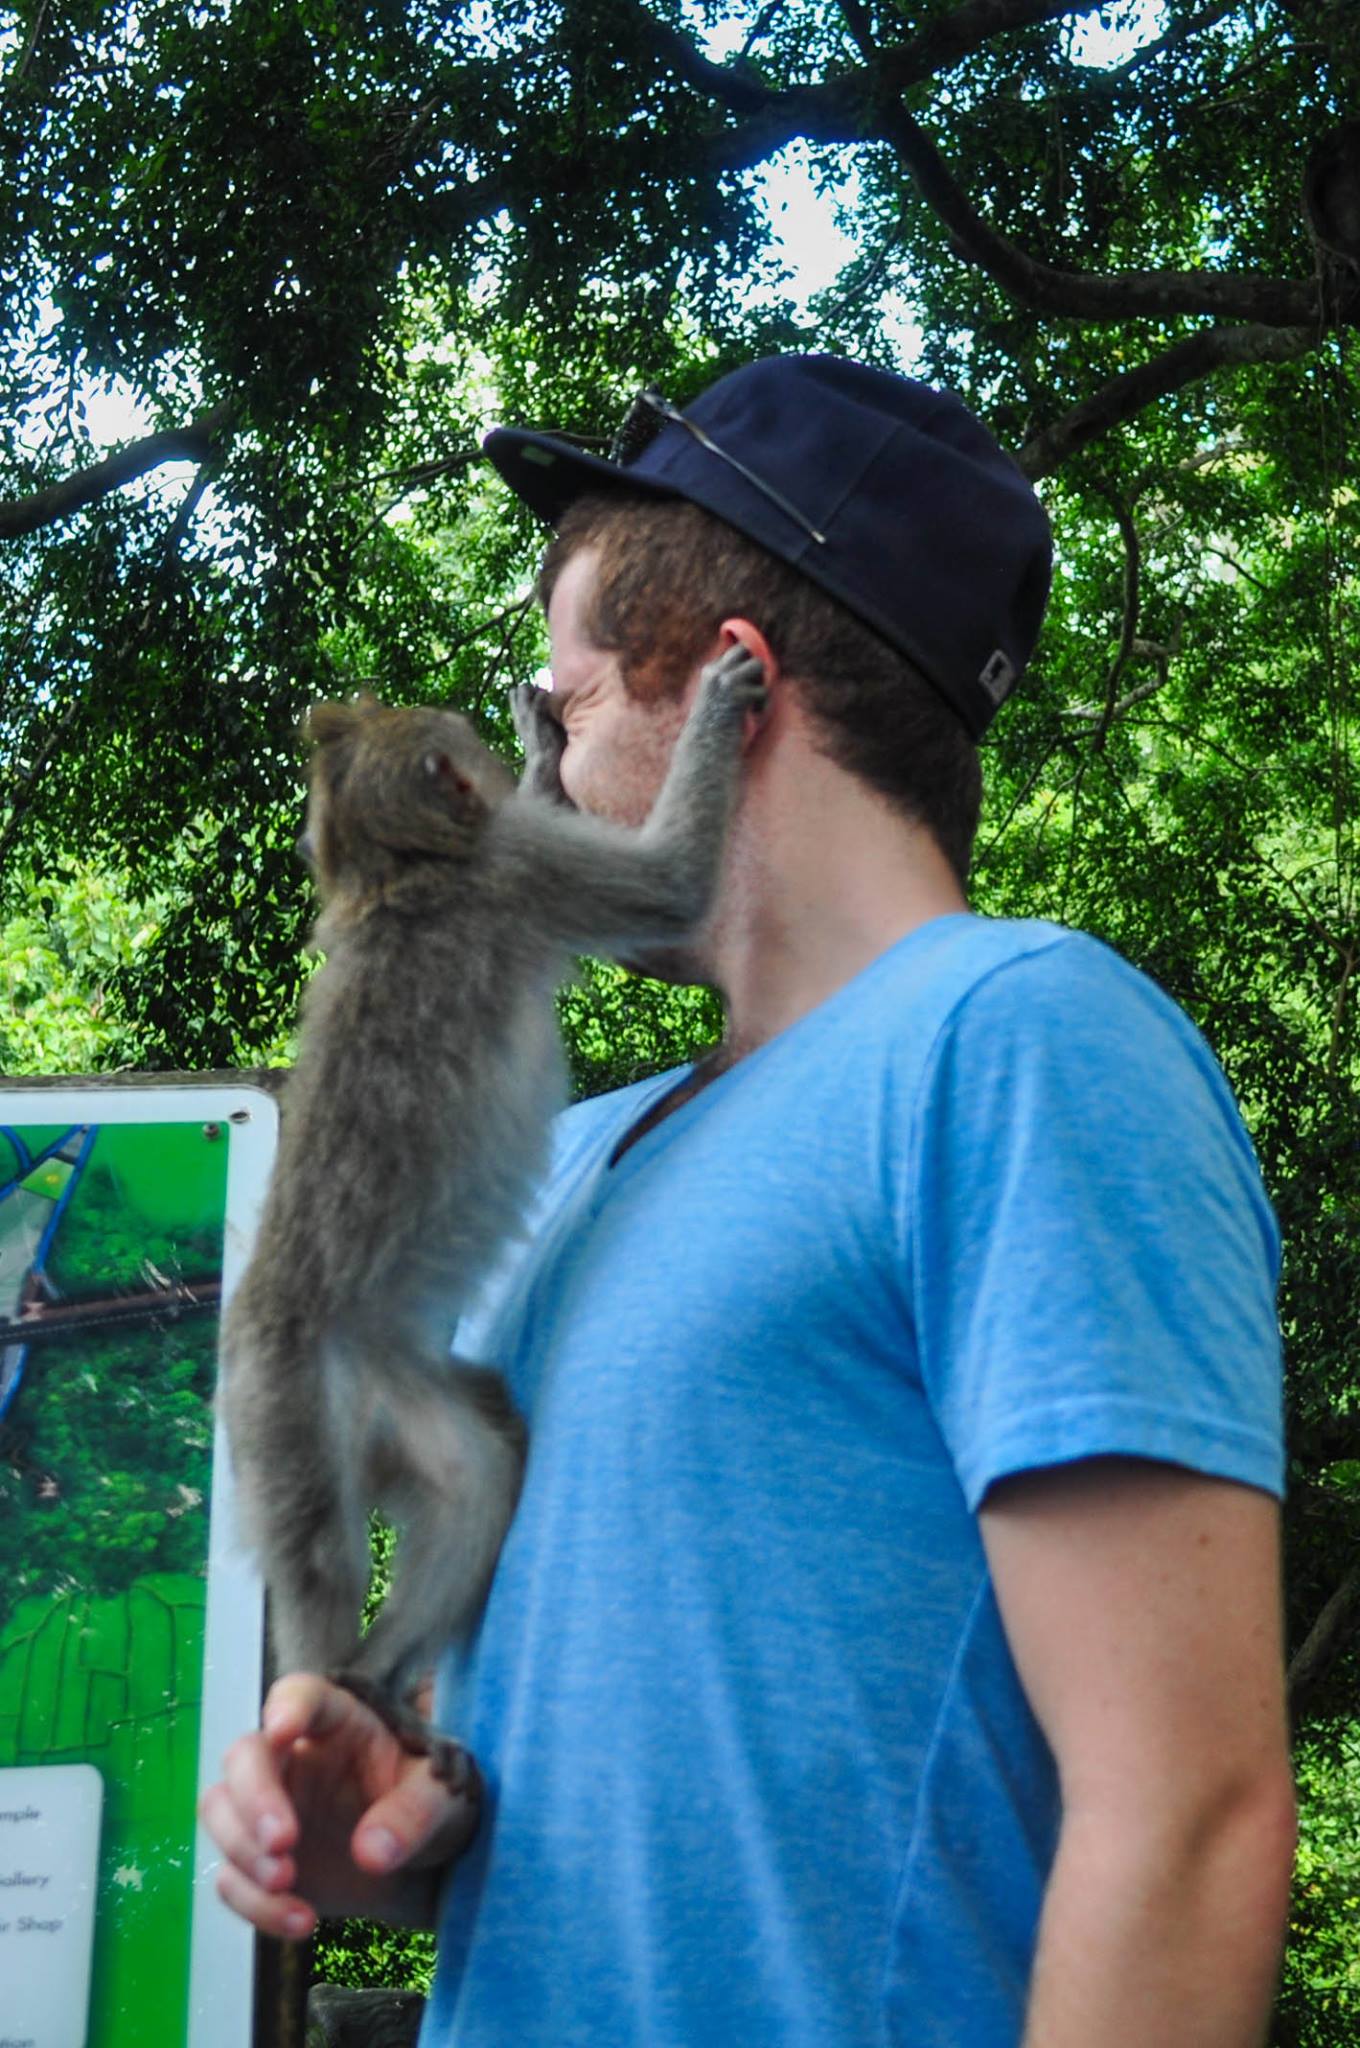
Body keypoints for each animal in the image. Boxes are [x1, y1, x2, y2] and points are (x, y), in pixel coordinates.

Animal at [215, 638, 766, 1777]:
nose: (483, 734)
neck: (398, 873)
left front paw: (544, 743)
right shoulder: (515, 870)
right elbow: (671, 884)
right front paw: (713, 703)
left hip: (394, 1388)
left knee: (481, 1470)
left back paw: (380, 1686)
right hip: (281, 1409)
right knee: (322, 1561)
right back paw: (323, 1700)